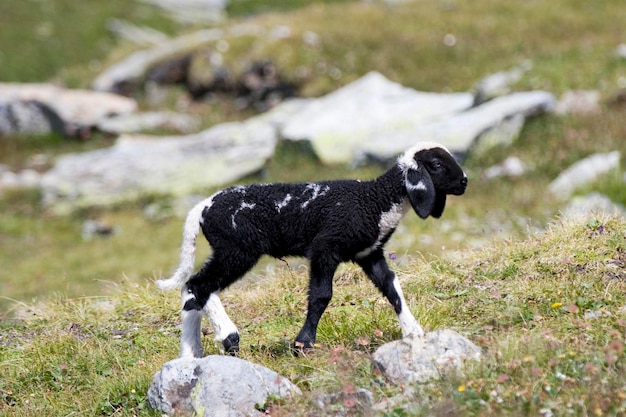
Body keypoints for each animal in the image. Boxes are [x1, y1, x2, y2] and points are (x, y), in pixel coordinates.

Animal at [158, 141, 466, 356]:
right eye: (436, 164)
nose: (464, 182)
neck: (375, 200)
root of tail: (203, 207)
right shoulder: (324, 248)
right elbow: (321, 295)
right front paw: (303, 344)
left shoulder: (370, 253)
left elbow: (391, 286)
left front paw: (414, 332)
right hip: (238, 248)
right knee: (199, 285)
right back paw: (228, 337)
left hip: (229, 250)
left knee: (193, 289)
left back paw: (191, 354)